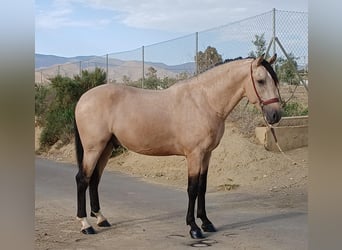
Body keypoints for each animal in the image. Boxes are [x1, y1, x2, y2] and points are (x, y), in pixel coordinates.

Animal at [73, 54, 280, 238]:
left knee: (94, 180)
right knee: (83, 179)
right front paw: (194, 228)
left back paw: (101, 218)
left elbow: (202, 187)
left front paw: (206, 223)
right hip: (93, 149)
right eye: (261, 81)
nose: (275, 115)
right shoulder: (194, 154)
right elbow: (192, 189)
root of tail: (83, 98)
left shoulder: (206, 154)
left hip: (106, 148)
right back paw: (85, 224)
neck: (203, 102)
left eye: (275, 80)